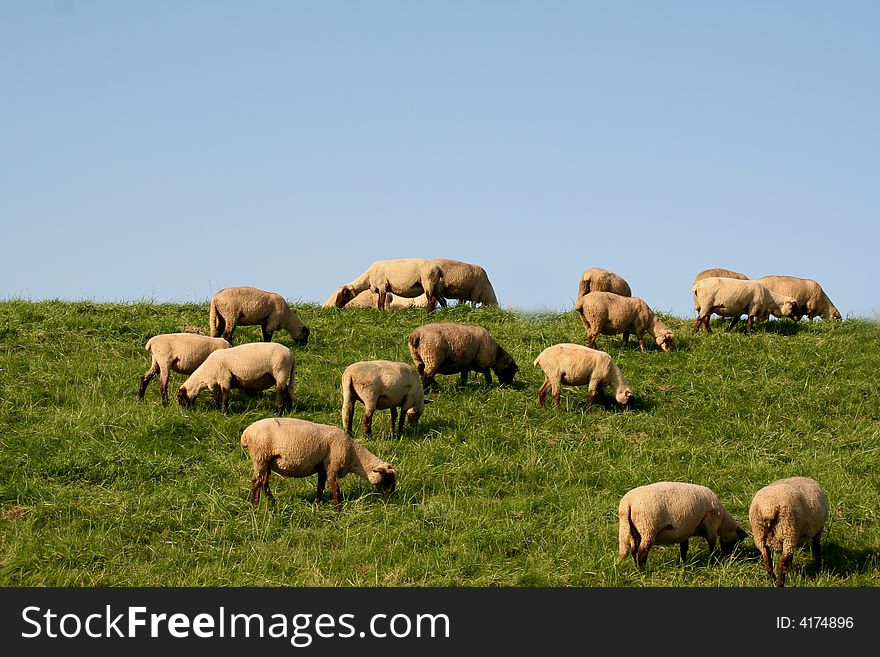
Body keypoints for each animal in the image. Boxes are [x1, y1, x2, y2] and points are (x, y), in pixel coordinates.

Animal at [237, 418, 396, 510]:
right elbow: (335, 487)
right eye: (387, 480)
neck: (354, 455)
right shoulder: (332, 466)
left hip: (267, 460)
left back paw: (271, 501)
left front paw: (317, 503)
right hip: (260, 456)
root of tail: (245, 435)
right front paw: (337, 508)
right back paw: (255, 505)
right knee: (256, 481)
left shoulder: (322, 467)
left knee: (264, 481)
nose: (390, 499)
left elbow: (321, 486)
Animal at [616, 480, 744, 568]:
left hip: (632, 530)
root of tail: (627, 503)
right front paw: (713, 559)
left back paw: (636, 567)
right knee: (642, 551)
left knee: (634, 550)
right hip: (648, 527)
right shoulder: (711, 525)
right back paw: (643, 570)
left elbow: (684, 548)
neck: (722, 521)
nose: (729, 556)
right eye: (735, 542)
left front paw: (683, 563)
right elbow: (711, 544)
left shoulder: (684, 530)